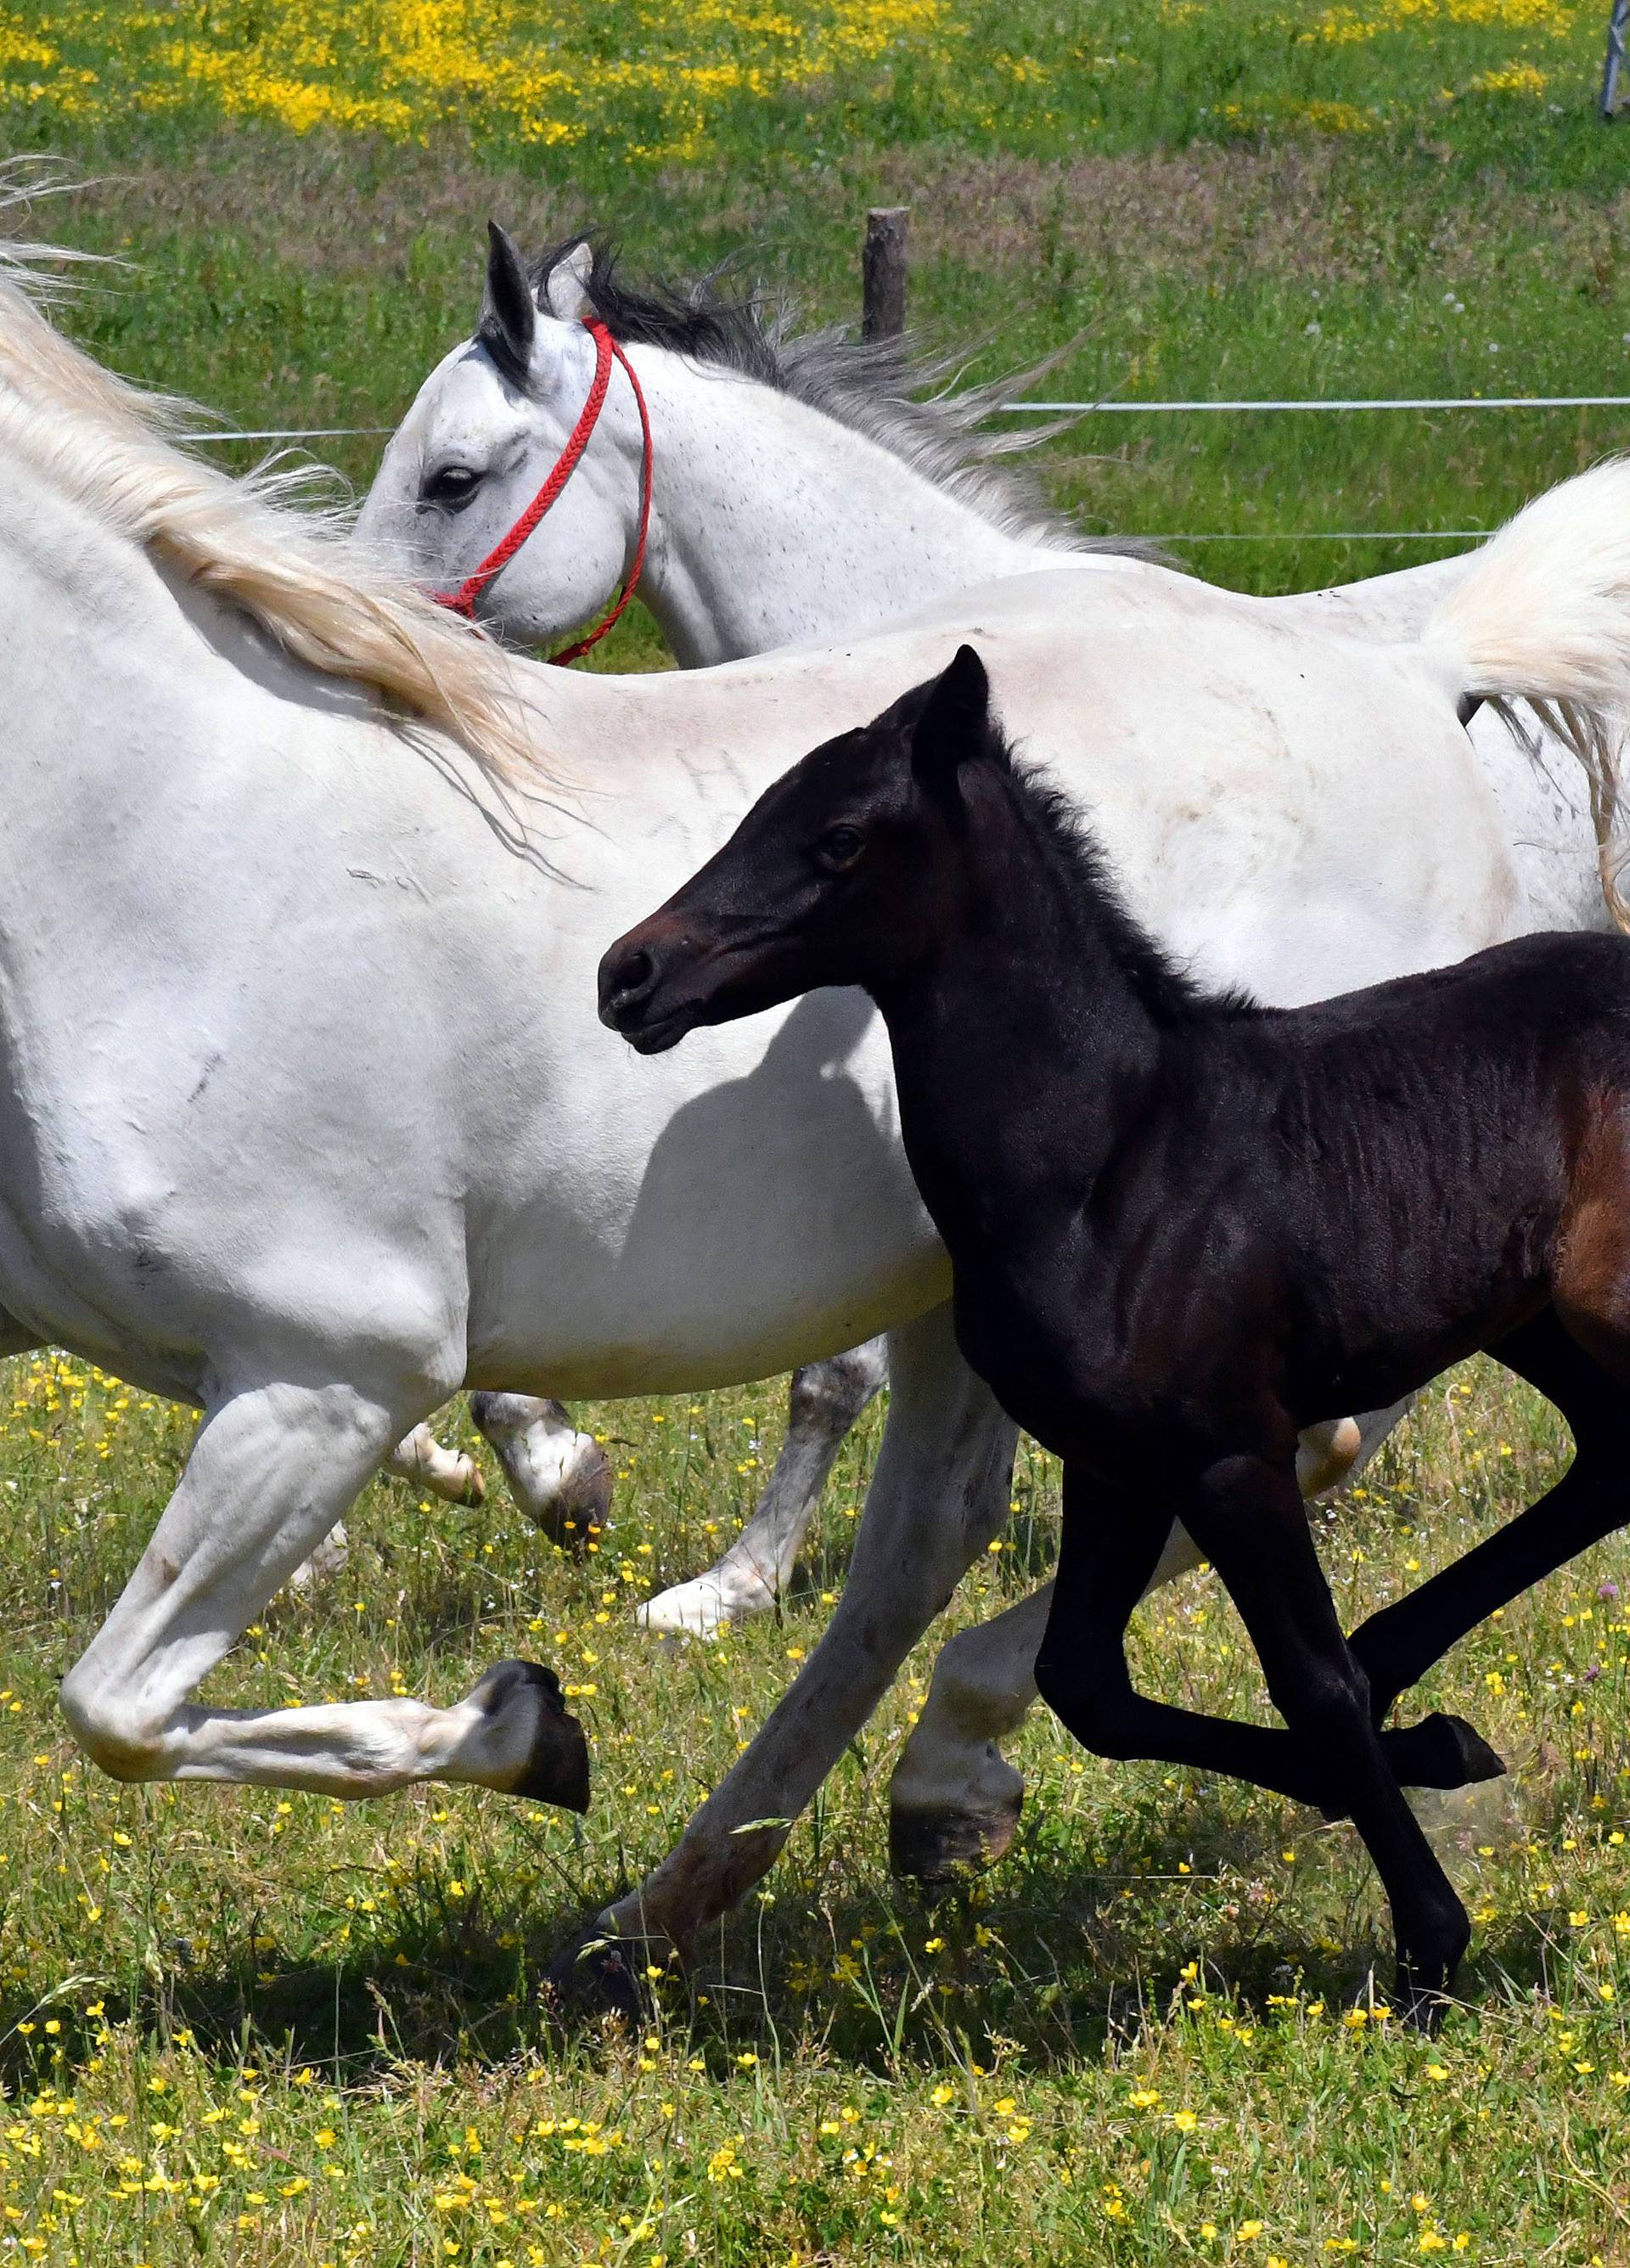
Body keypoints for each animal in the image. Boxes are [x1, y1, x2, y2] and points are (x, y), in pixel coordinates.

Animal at [607, 644, 1630, 2023]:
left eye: (838, 838)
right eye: (759, 807)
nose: (628, 975)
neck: (1109, 1162)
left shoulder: (1228, 1452)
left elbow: (1309, 1685)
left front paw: (1429, 1947)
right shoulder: (1113, 1461)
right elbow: (1091, 1686)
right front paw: (1432, 1744)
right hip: (1537, 1322)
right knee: (1611, 1457)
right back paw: (1409, 1669)